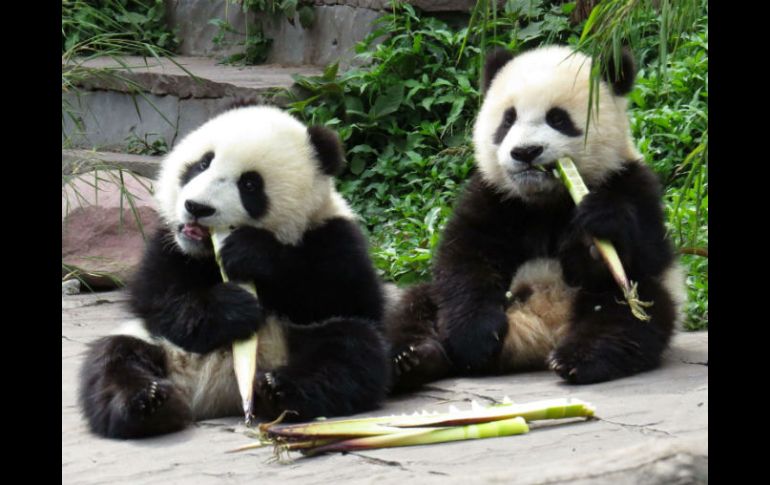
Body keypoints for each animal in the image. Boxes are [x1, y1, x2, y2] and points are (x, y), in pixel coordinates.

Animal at [79, 106, 390, 438]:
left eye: (250, 184)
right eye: (202, 163)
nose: (197, 207)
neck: (207, 252)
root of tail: (214, 395)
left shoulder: (333, 234)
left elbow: (348, 297)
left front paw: (250, 253)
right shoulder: (168, 244)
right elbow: (158, 296)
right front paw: (234, 307)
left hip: (291, 344)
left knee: (350, 350)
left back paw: (278, 390)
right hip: (158, 343)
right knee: (113, 359)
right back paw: (148, 403)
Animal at [388, 45, 688, 392]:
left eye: (558, 118)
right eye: (508, 119)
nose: (525, 152)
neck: (546, 198)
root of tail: (538, 334)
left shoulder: (631, 182)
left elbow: (647, 254)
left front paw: (597, 230)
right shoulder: (494, 195)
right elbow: (466, 258)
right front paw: (474, 340)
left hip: (634, 300)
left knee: (629, 314)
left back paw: (577, 359)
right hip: (438, 301)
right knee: (415, 305)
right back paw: (413, 359)